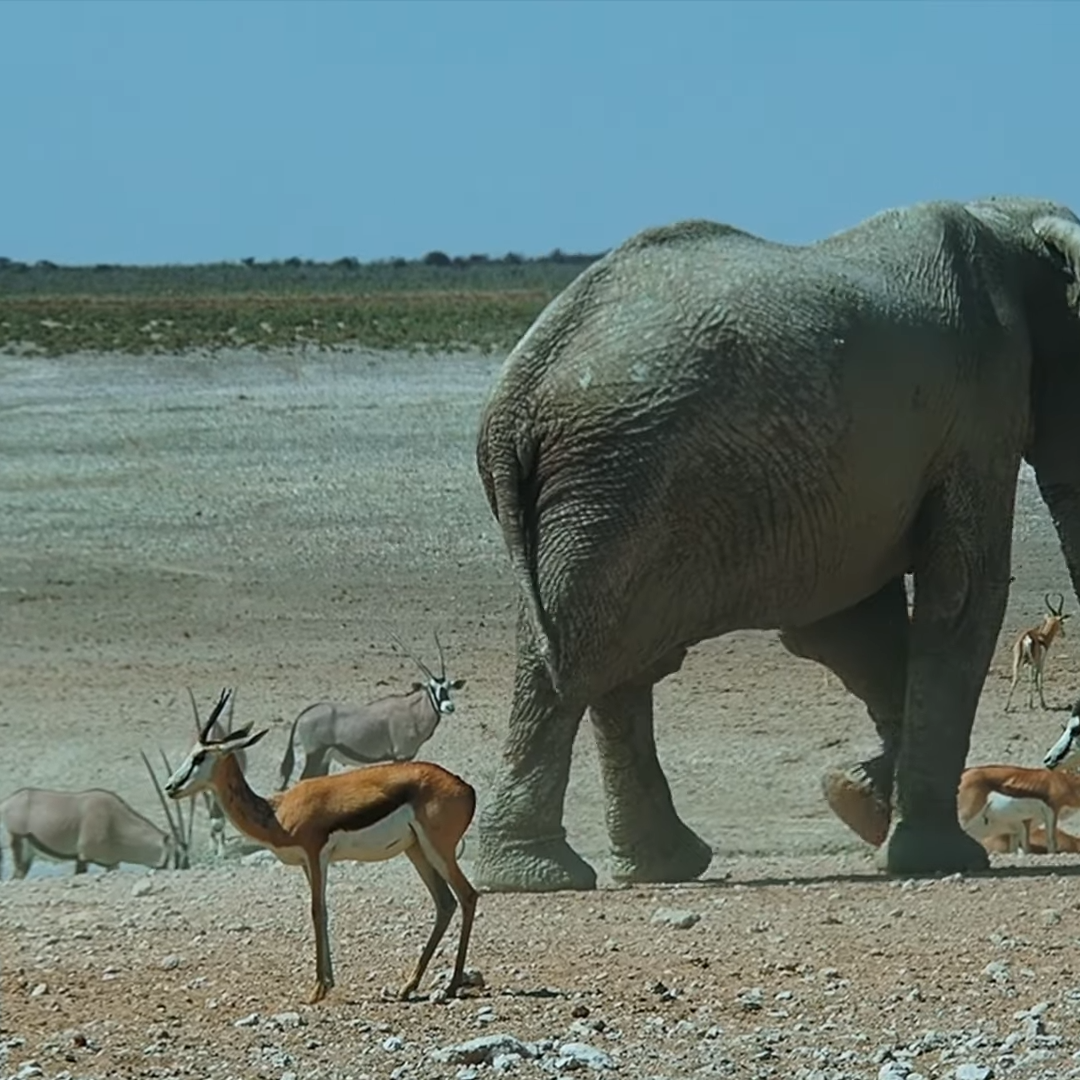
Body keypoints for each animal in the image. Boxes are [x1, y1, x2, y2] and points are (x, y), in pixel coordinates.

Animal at [473, 195, 1080, 893]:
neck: (1014, 223)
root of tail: (515, 399)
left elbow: (848, 627)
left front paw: (855, 796)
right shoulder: (981, 403)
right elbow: (960, 596)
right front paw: (936, 856)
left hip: (608, 494)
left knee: (600, 660)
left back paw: (648, 866)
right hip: (620, 483)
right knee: (586, 652)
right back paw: (543, 876)